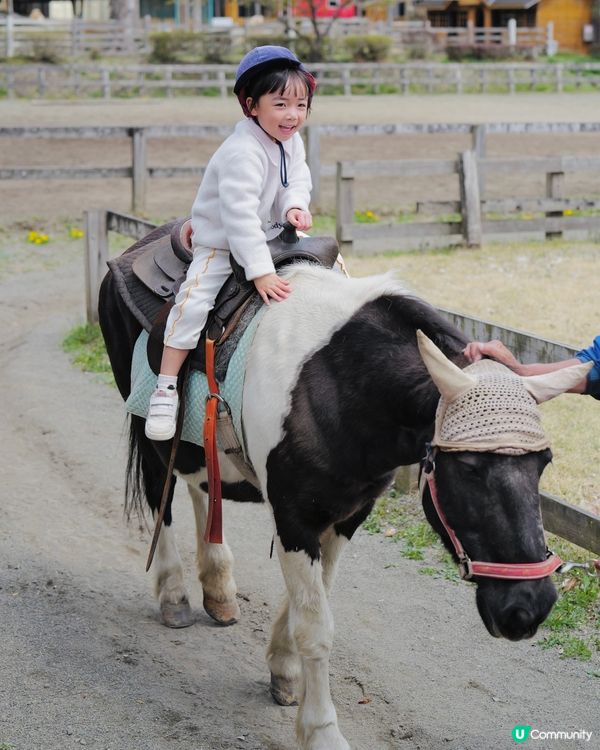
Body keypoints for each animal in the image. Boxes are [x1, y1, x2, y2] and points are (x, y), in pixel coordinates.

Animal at [98, 236, 588, 750]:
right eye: (471, 468)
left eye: (543, 463)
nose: (530, 607)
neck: (337, 382)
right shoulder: (295, 518)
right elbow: (316, 627)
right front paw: (321, 730)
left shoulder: (347, 516)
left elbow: (313, 601)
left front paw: (284, 669)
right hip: (151, 434)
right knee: (161, 496)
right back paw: (175, 596)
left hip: (199, 448)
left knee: (200, 487)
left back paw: (218, 587)